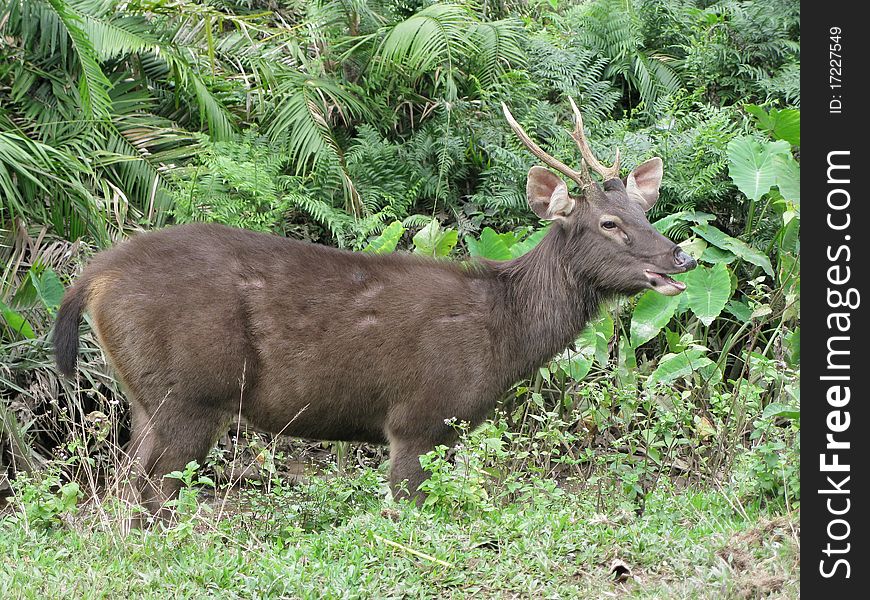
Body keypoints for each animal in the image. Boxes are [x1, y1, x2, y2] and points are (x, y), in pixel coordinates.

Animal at [52, 98, 696, 516]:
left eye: (644, 211)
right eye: (608, 223)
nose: (680, 257)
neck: (502, 335)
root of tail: (94, 278)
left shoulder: (447, 429)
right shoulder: (417, 417)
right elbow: (403, 512)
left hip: (147, 396)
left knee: (122, 483)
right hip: (188, 392)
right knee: (146, 490)